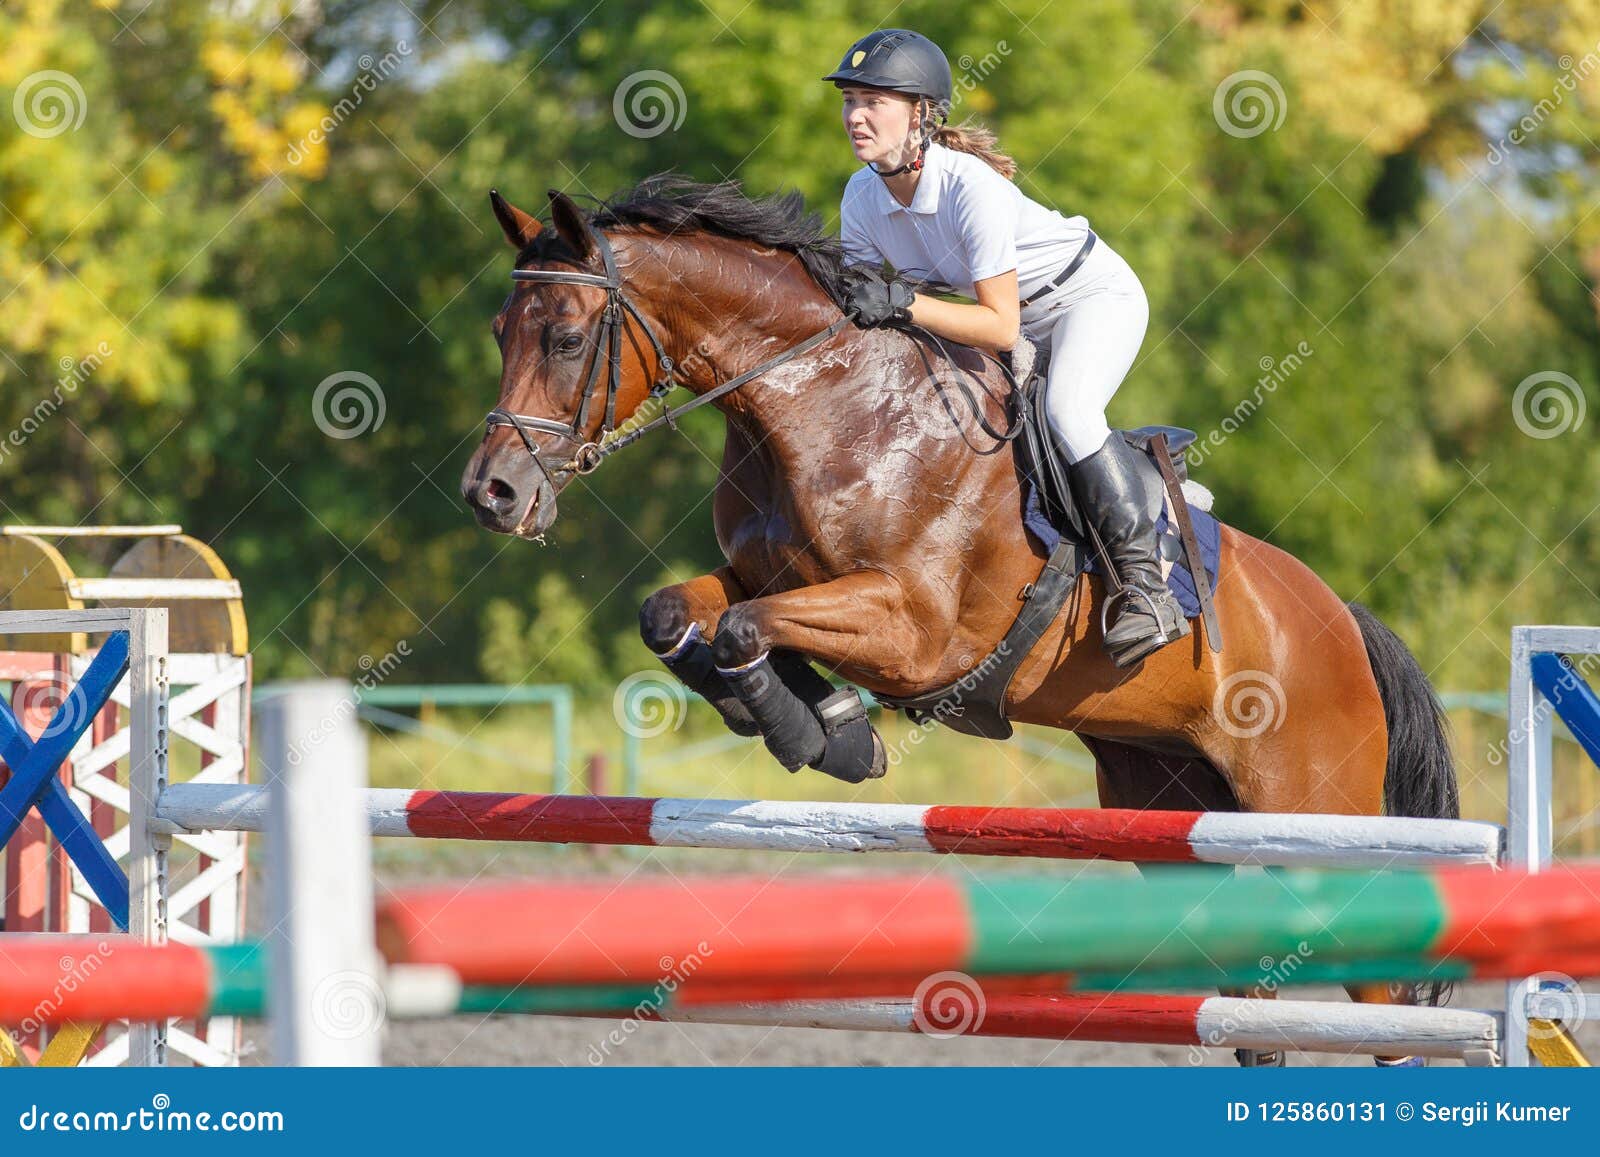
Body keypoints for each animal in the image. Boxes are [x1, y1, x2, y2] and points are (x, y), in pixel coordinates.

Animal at [464, 174, 1465, 1068]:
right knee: (1254, 1004)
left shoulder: (913, 630)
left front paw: (826, 734)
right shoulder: (766, 576)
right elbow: (677, 612)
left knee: (1393, 1009)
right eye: (500, 331)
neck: (821, 403)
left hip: (1319, 816)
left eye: (565, 336)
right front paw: (811, 721)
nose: (492, 494)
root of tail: (1342, 620)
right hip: (1170, 808)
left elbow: (752, 626)